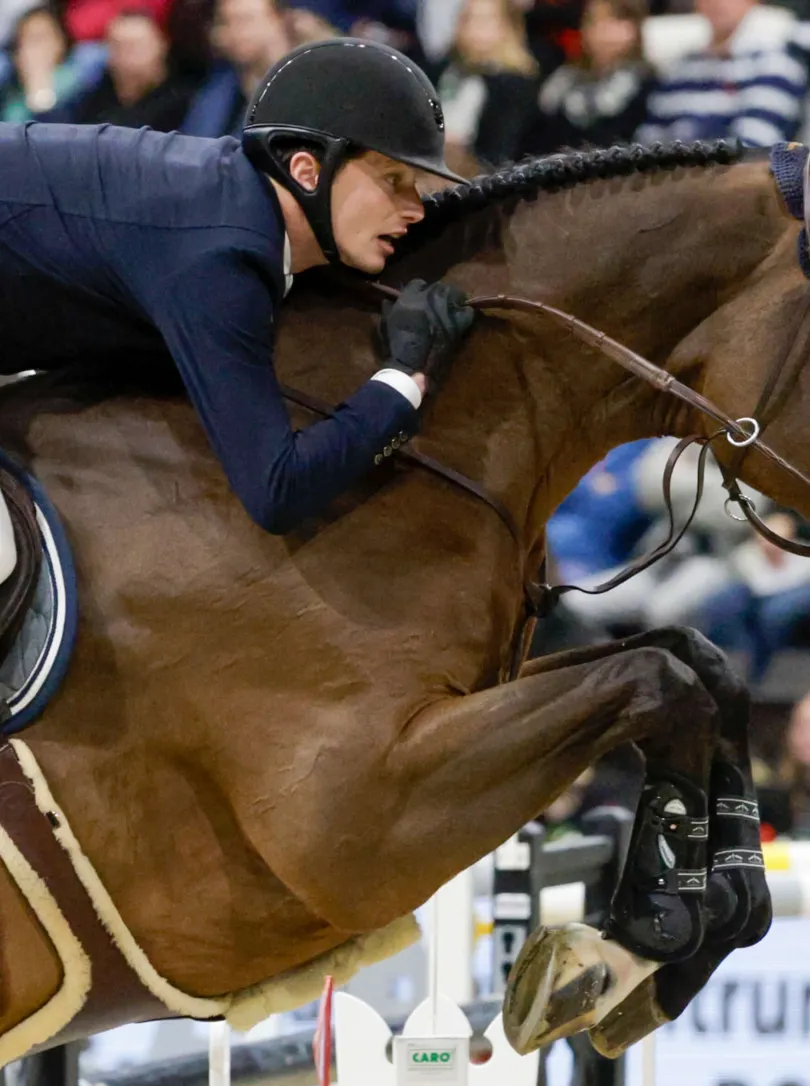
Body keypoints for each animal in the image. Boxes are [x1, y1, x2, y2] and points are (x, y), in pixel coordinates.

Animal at [0, 140, 803, 1064]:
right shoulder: (355, 816)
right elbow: (657, 682)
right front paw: (643, 930)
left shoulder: (469, 699)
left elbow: (698, 665)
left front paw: (707, 918)